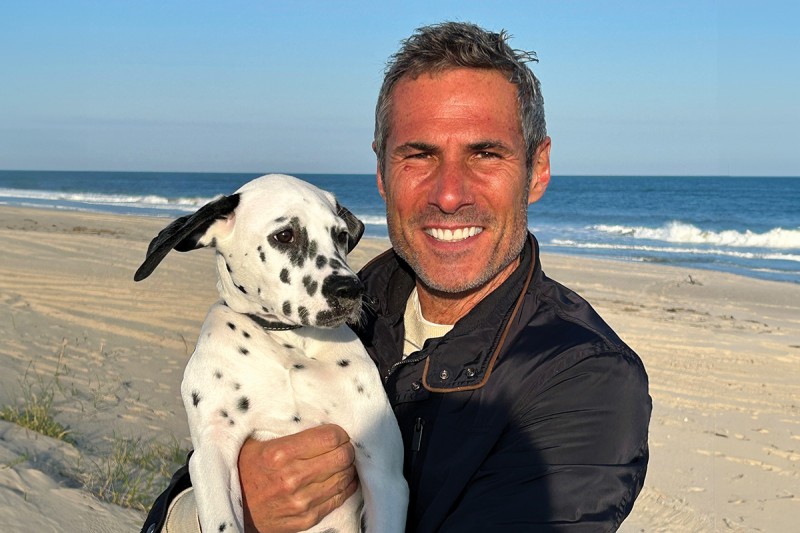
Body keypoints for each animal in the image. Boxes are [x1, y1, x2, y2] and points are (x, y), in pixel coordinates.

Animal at [136, 176, 406, 532]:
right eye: (284, 235)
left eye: (340, 235)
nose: (351, 290)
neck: (287, 345)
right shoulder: (211, 456)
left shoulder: (384, 471)